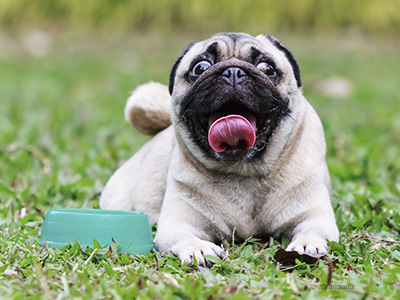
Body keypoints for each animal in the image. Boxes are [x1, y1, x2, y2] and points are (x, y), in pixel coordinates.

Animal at [99, 31, 338, 264]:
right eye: (200, 68)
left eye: (267, 68)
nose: (233, 72)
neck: (243, 170)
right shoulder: (176, 223)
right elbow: (184, 236)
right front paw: (200, 249)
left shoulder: (315, 215)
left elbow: (314, 229)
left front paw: (306, 245)